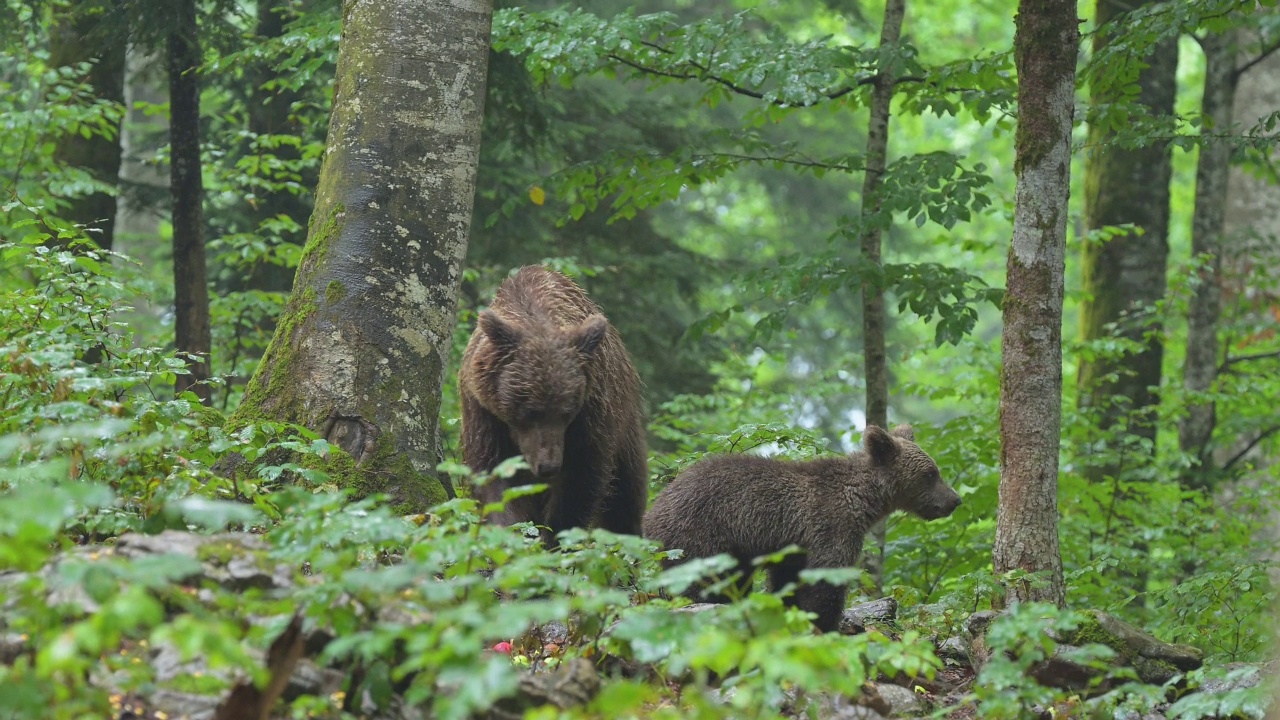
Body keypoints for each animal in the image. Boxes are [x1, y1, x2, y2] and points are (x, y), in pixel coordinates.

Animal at [458, 265, 645, 543]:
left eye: (566, 412)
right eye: (529, 412)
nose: (548, 466)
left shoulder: (591, 412)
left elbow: (580, 483)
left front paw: (553, 539)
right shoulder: (482, 411)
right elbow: (494, 477)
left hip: (625, 421)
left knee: (626, 493)